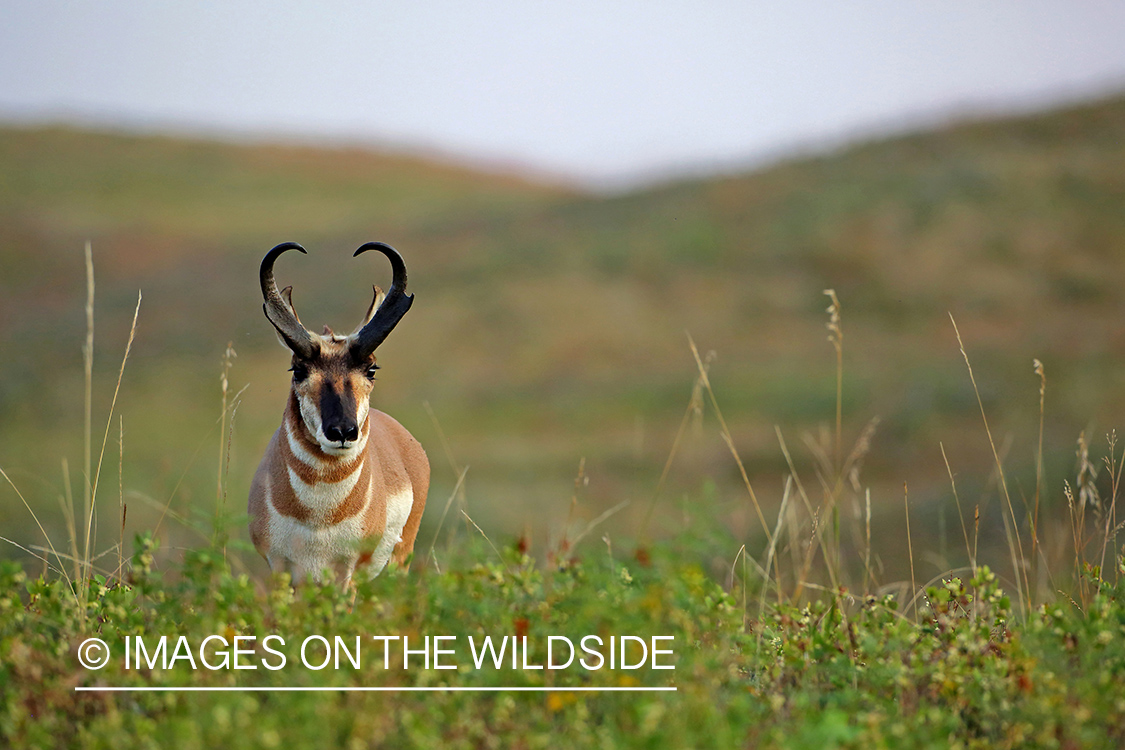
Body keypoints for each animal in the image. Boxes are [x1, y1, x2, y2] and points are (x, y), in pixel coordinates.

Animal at [248, 244, 427, 584]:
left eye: (371, 369)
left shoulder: (347, 572)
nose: (342, 431)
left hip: (399, 561)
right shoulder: (279, 568)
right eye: (298, 370)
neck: (320, 514)